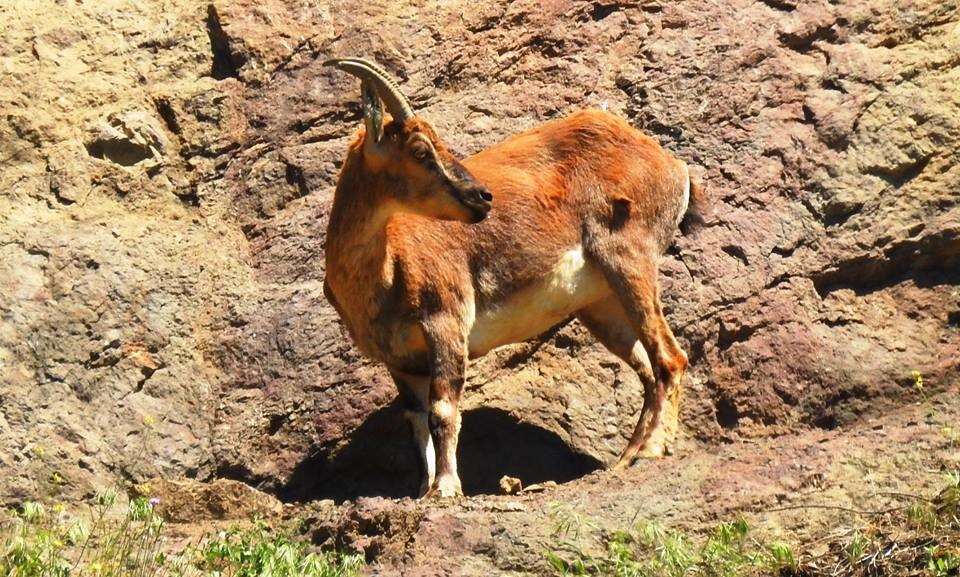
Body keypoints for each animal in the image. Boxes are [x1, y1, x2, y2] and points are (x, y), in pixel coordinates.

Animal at [322, 58, 704, 498]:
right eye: (420, 150)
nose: (482, 197)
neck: (384, 270)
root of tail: (672, 165)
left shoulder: (446, 325)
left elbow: (443, 411)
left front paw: (447, 488)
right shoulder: (400, 362)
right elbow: (417, 426)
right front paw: (423, 491)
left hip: (630, 260)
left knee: (669, 357)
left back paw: (652, 450)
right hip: (600, 304)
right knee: (646, 370)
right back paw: (625, 458)